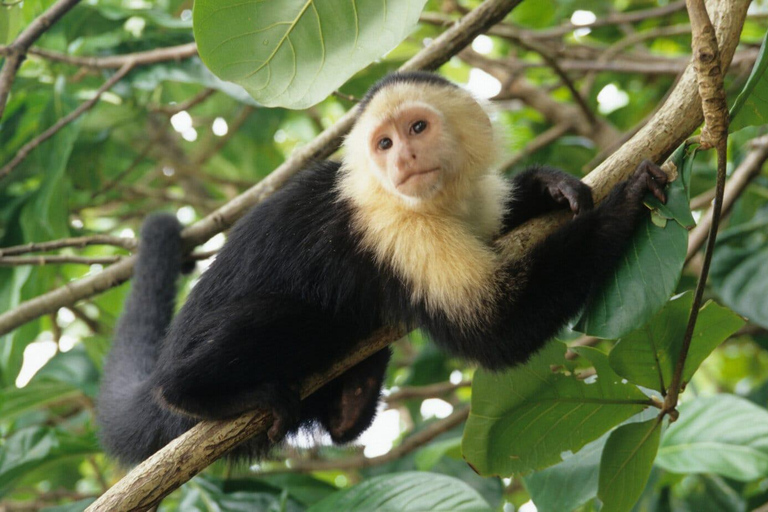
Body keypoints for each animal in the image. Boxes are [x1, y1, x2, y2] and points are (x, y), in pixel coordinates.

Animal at [99, 70, 668, 466]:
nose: (404, 159)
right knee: (289, 320)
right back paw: (198, 393)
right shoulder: (394, 228)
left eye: (418, 127)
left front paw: (547, 186)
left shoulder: (469, 203)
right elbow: (493, 329)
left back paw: (355, 392)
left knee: (340, 409)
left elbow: (498, 232)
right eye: (385, 144)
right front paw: (623, 202)